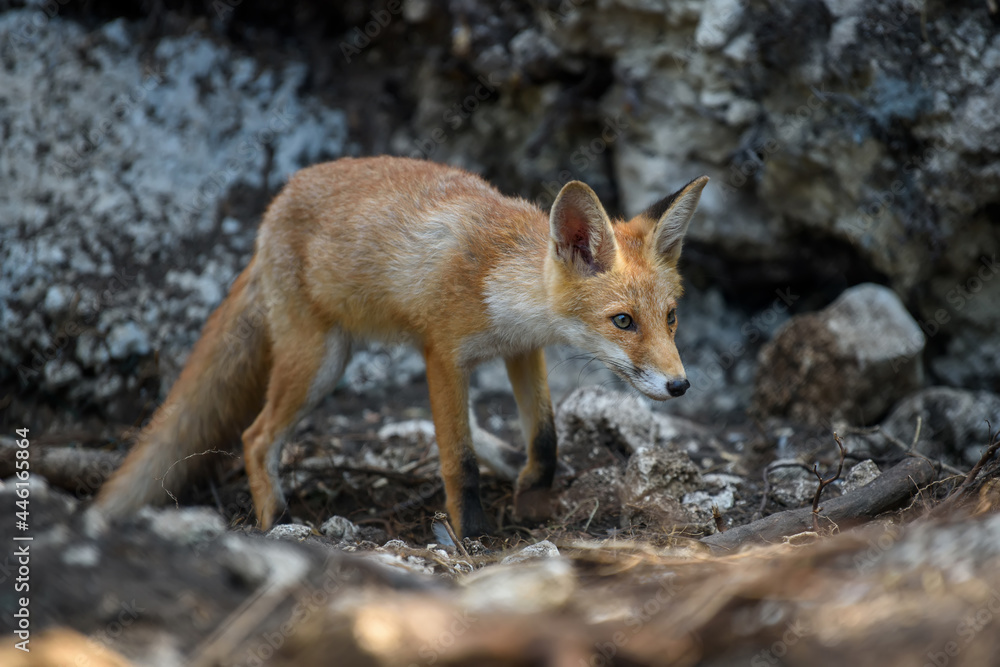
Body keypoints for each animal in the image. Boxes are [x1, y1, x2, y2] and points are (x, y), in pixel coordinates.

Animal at [92, 155, 704, 536]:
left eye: (671, 317)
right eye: (623, 321)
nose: (680, 386)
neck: (497, 278)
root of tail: (273, 211)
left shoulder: (519, 351)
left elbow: (546, 439)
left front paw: (530, 494)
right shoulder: (444, 358)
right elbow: (458, 461)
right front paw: (473, 535)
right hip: (320, 364)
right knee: (255, 437)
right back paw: (274, 519)